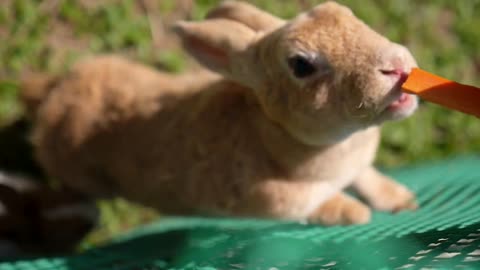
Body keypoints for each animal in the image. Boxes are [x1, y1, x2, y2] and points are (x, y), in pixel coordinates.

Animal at [20, 1, 418, 226]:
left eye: (345, 12)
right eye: (300, 65)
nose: (397, 66)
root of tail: (54, 99)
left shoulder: (358, 165)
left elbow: (366, 175)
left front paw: (403, 202)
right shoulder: (276, 200)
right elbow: (311, 204)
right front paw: (355, 215)